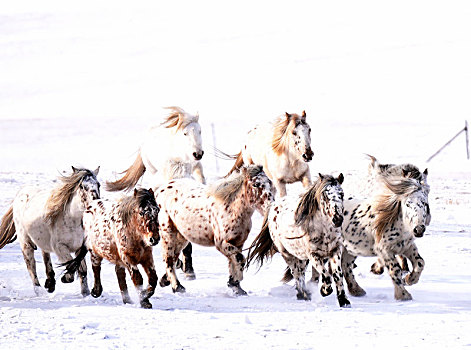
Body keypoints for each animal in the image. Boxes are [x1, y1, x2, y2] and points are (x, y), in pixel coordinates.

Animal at [0, 167, 100, 296]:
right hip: (25, 243)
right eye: (82, 186)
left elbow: (82, 269)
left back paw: (50, 283)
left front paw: (86, 292)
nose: (96, 203)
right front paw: (65, 278)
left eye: (98, 184)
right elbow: (70, 265)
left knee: (45, 254)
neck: (73, 220)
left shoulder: (80, 247)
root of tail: (20, 194)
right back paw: (39, 290)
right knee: (31, 266)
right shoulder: (60, 247)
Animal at [157, 165, 274, 296]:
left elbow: (233, 262)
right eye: (256, 184)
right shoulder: (221, 243)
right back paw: (177, 287)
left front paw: (236, 286)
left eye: (270, 182)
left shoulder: (238, 243)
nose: (271, 205)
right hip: (168, 234)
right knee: (168, 259)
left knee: (173, 257)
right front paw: (235, 283)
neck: (232, 208)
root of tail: (161, 189)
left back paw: (165, 281)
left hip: (181, 237)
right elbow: (240, 259)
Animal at [247, 174, 350, 308]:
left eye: (341, 194)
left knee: (301, 272)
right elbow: (326, 274)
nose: (337, 219)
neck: (324, 230)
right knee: (296, 273)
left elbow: (337, 275)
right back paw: (303, 294)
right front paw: (325, 291)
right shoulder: (313, 254)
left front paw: (344, 301)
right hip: (287, 254)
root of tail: (274, 206)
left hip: (300, 257)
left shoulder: (335, 250)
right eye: (325, 195)